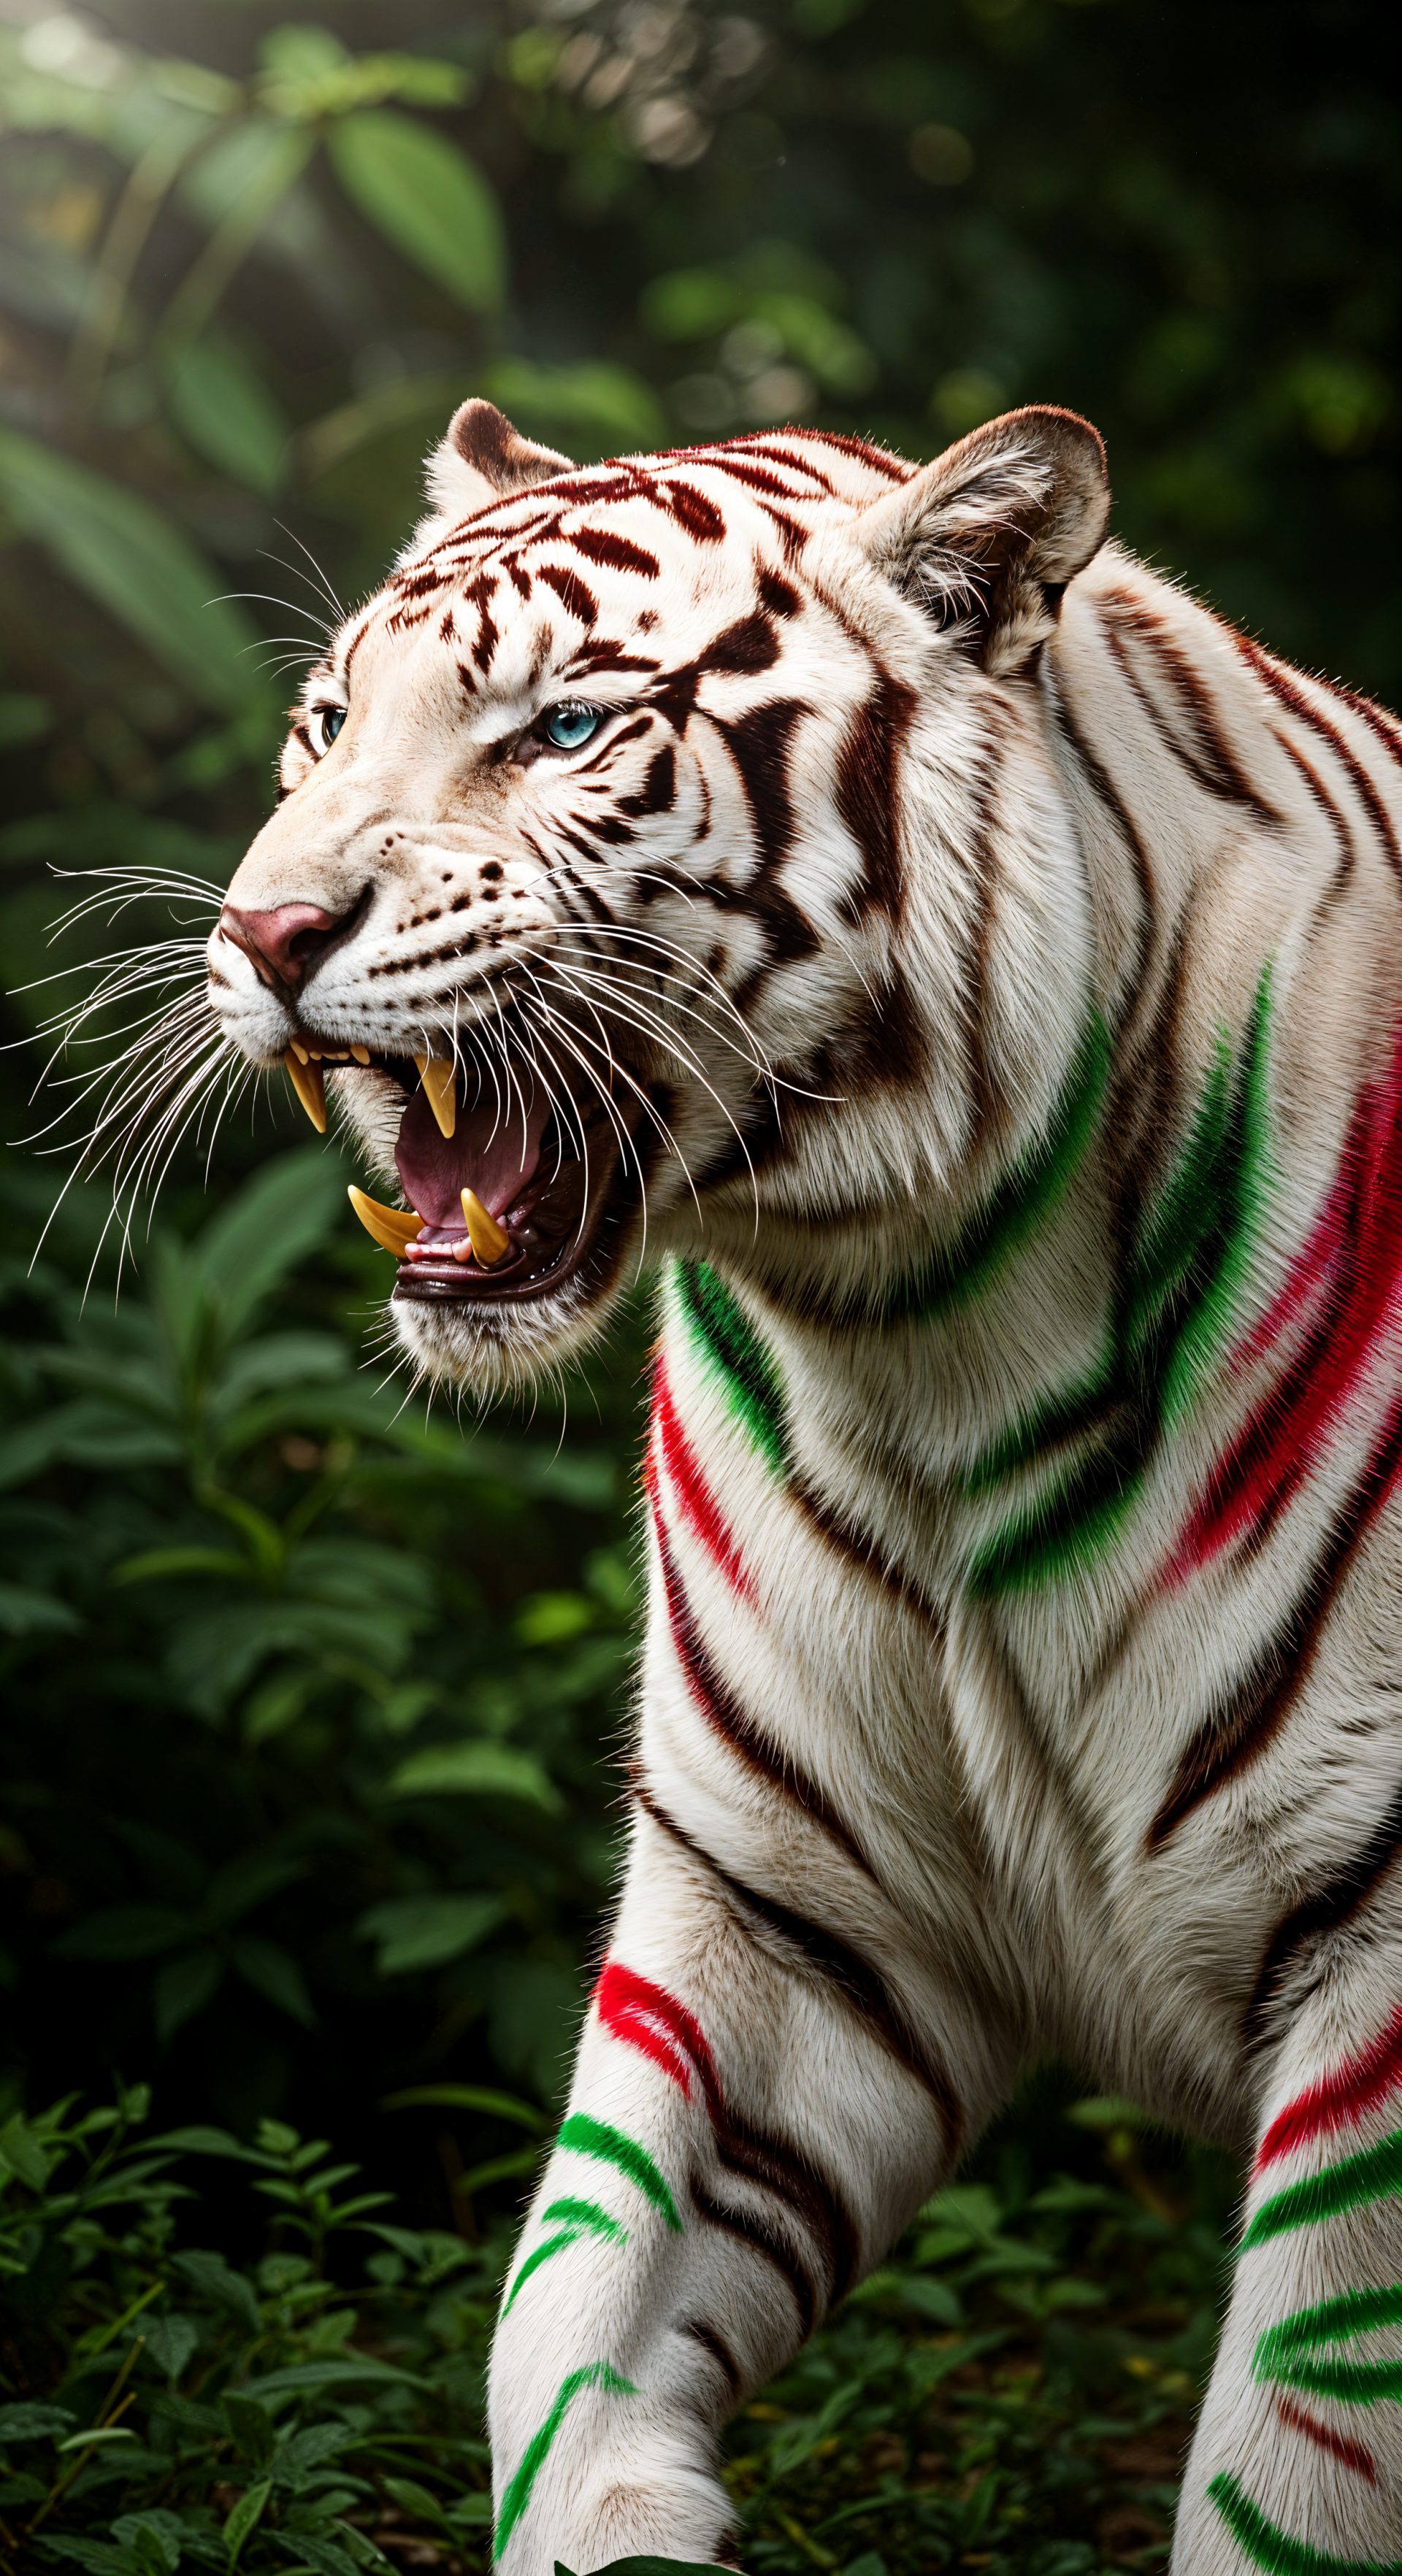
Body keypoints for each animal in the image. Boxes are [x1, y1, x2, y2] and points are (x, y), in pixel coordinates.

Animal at [200, 393, 1402, 2575]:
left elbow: (1296, 2461)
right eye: (326, 724)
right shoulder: (778, 1918)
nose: (260, 935)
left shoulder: (1381, 1959)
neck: (921, 1337)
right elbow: (565, 2316)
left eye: (567, 728)